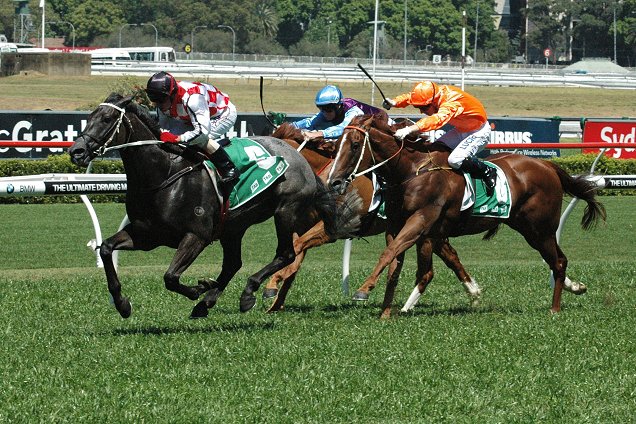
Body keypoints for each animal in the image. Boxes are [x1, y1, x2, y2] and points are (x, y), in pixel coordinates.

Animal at [70, 93, 360, 318]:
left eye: (107, 119)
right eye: (90, 116)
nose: (76, 151)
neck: (164, 174)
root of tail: (300, 158)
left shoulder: (196, 235)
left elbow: (170, 277)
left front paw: (198, 288)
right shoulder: (147, 234)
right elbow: (106, 249)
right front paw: (122, 304)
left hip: (285, 211)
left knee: (285, 253)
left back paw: (246, 293)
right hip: (234, 226)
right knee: (233, 263)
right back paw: (206, 303)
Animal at [260, 122, 480, 312]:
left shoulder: (332, 228)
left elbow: (296, 254)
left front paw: (272, 285)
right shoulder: (304, 225)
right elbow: (295, 260)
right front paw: (275, 302)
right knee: (449, 255)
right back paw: (473, 292)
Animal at [328, 113, 608, 318]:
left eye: (355, 145)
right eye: (335, 146)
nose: (334, 182)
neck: (412, 171)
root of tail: (547, 165)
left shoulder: (420, 222)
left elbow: (392, 256)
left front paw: (363, 291)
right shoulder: (402, 227)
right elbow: (396, 264)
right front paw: (386, 312)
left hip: (540, 229)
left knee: (558, 261)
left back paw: (555, 308)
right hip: (531, 228)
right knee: (558, 260)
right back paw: (574, 287)